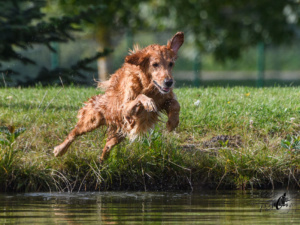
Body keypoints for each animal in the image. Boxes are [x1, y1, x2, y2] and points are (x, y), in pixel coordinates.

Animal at [54, 31, 184, 162]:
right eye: (155, 64)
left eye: (171, 64)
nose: (169, 82)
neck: (148, 86)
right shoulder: (124, 108)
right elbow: (139, 97)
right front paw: (148, 102)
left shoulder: (164, 99)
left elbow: (175, 104)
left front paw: (172, 122)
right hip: (92, 120)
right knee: (73, 133)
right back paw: (59, 150)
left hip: (120, 132)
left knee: (108, 144)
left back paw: (102, 159)